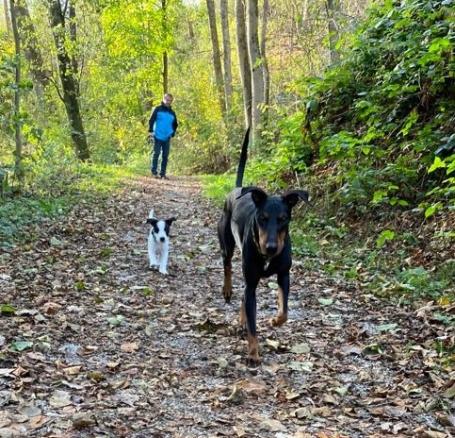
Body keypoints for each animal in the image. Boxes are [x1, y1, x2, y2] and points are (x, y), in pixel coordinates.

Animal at [219, 129, 312, 362]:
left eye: (283, 219)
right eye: (262, 218)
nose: (270, 248)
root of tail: (237, 189)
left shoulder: (284, 275)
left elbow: (284, 310)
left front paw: (274, 320)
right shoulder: (252, 281)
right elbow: (253, 324)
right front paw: (253, 353)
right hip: (226, 243)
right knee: (228, 265)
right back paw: (227, 290)